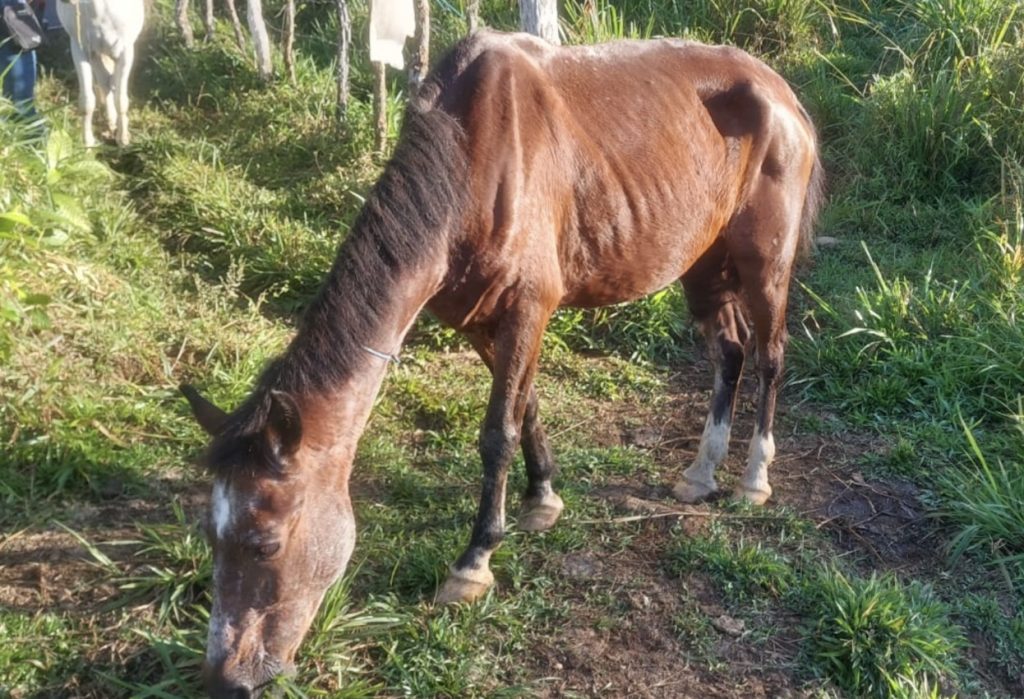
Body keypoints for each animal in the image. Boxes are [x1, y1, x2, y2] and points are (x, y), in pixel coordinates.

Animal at [182, 29, 823, 697]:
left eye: (265, 544)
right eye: (209, 535)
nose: (225, 679)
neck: (474, 163)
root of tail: (781, 91)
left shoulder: (528, 308)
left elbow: (497, 432)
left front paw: (475, 561)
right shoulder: (480, 321)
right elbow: (526, 406)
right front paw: (542, 498)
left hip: (765, 262)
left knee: (769, 356)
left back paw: (753, 477)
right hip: (701, 261)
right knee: (728, 353)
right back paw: (701, 471)